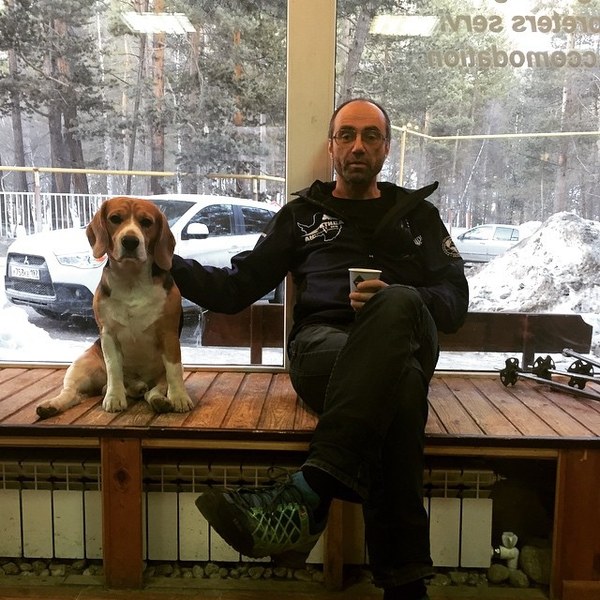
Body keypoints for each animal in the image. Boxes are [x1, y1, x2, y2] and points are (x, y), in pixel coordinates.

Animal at [36, 197, 193, 419]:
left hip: (161, 375)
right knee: (72, 393)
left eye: (146, 222)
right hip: (81, 365)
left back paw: (158, 399)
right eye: (115, 219)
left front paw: (179, 397)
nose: (130, 241)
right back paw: (52, 405)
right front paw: (114, 397)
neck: (131, 279)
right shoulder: (108, 334)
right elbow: (114, 369)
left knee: (153, 390)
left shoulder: (169, 335)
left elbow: (173, 371)